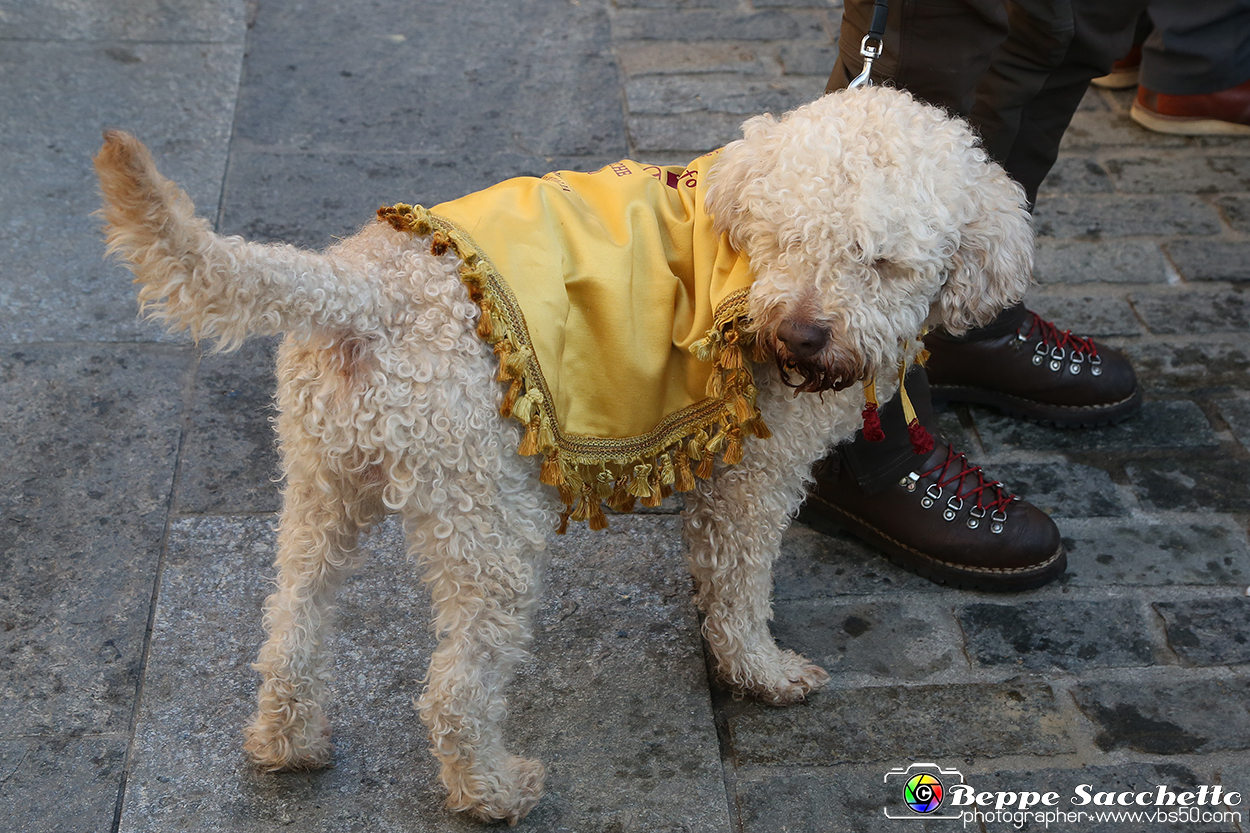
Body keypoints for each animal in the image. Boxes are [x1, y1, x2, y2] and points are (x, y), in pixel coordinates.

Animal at [95, 87, 1035, 820]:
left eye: (883, 261)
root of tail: (361, 292)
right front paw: (760, 672)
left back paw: (287, 741)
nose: (800, 335)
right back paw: (490, 791)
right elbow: (739, 588)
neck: (734, 254)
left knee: (291, 626)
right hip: (486, 524)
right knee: (454, 690)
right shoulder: (754, 479)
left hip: (321, 485)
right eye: (784, 240)